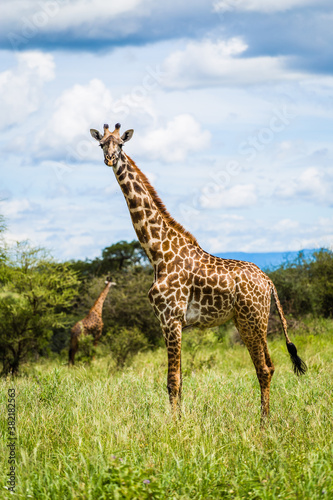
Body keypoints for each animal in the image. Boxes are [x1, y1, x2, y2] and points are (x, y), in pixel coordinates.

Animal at [89, 123, 306, 420]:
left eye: (120, 145)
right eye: (102, 144)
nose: (110, 159)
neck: (158, 252)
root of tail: (269, 281)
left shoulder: (171, 318)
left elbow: (172, 381)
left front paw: (174, 425)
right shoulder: (168, 321)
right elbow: (178, 379)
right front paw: (179, 421)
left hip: (254, 320)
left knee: (263, 368)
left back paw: (263, 424)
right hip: (245, 321)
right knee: (270, 366)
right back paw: (266, 419)